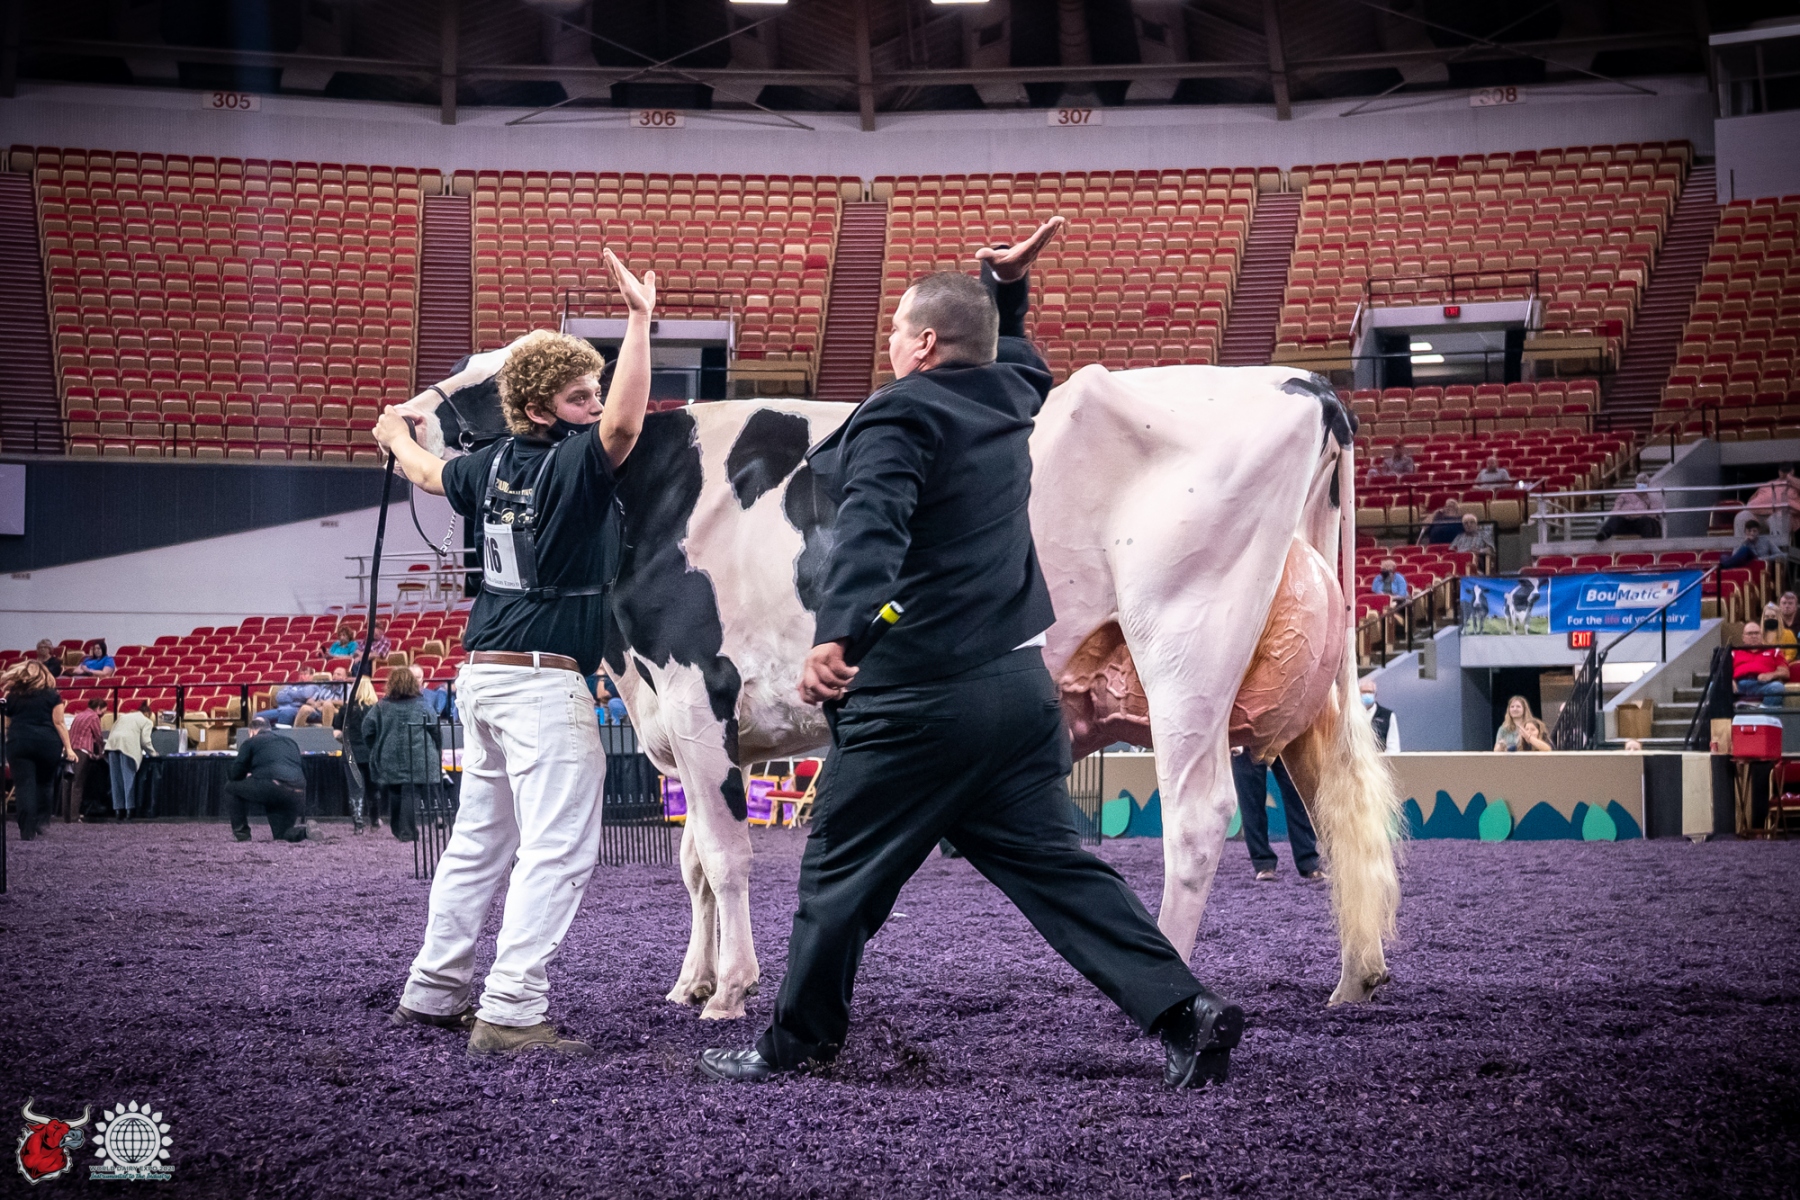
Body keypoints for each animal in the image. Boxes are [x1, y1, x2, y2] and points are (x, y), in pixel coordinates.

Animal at [400, 352, 1402, 1021]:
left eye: (496, 376)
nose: (404, 417)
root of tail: (1301, 383)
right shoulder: (686, 724)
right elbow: (691, 863)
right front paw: (692, 979)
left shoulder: (694, 690)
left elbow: (724, 858)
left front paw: (730, 990)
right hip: (1306, 678)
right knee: (1335, 804)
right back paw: (1354, 976)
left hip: (1185, 650)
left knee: (1197, 819)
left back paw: (1174, 978)